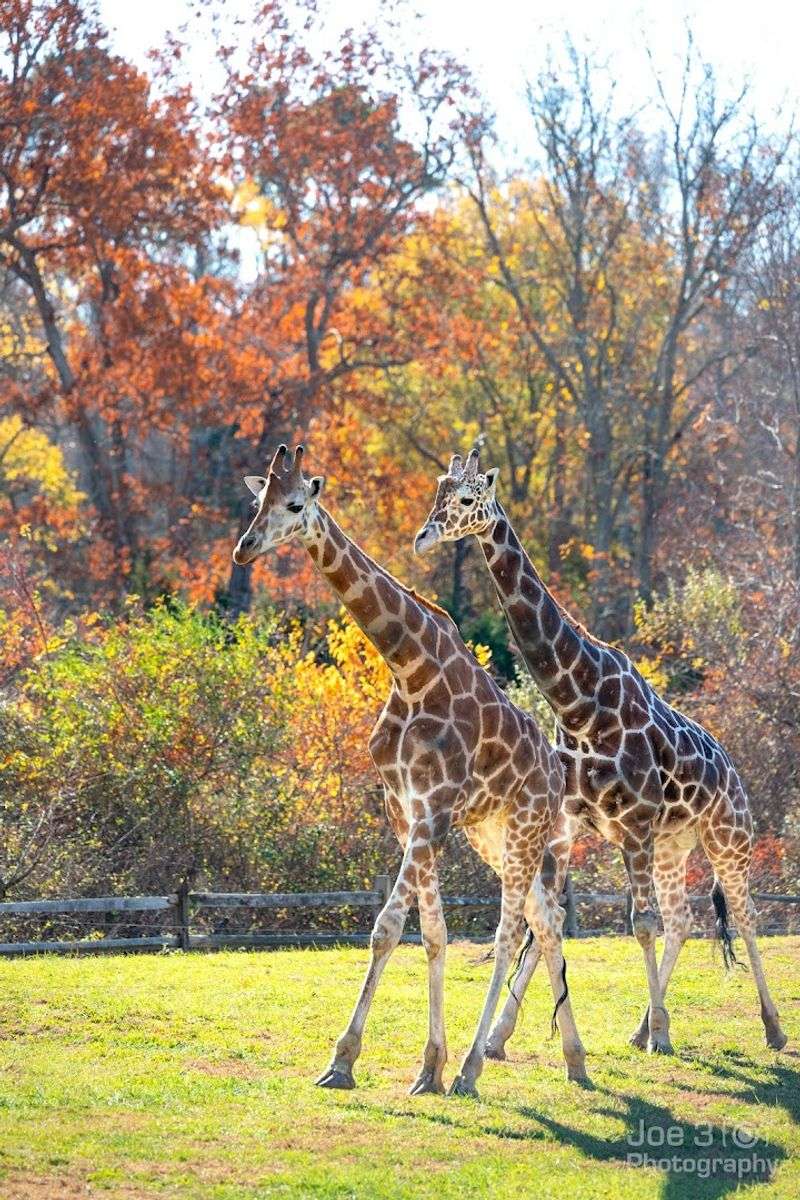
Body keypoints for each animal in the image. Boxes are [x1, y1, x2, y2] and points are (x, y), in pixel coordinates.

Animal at [232, 444, 588, 1095]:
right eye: (257, 500)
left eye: (294, 504)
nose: (245, 548)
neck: (409, 668)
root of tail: (558, 773)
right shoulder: (405, 809)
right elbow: (434, 933)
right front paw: (428, 1067)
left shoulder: (436, 810)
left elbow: (388, 928)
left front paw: (343, 1061)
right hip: (493, 834)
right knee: (546, 921)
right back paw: (575, 1061)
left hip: (527, 829)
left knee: (509, 932)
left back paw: (475, 1069)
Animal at [414, 448, 788, 1058]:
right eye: (437, 492)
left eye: (467, 498)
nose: (423, 538)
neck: (580, 704)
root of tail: (734, 771)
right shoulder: (568, 823)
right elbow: (548, 920)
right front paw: (496, 1038)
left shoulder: (634, 823)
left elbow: (638, 924)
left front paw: (662, 1035)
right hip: (673, 845)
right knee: (683, 918)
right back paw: (642, 1025)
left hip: (728, 837)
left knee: (745, 913)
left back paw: (771, 1028)